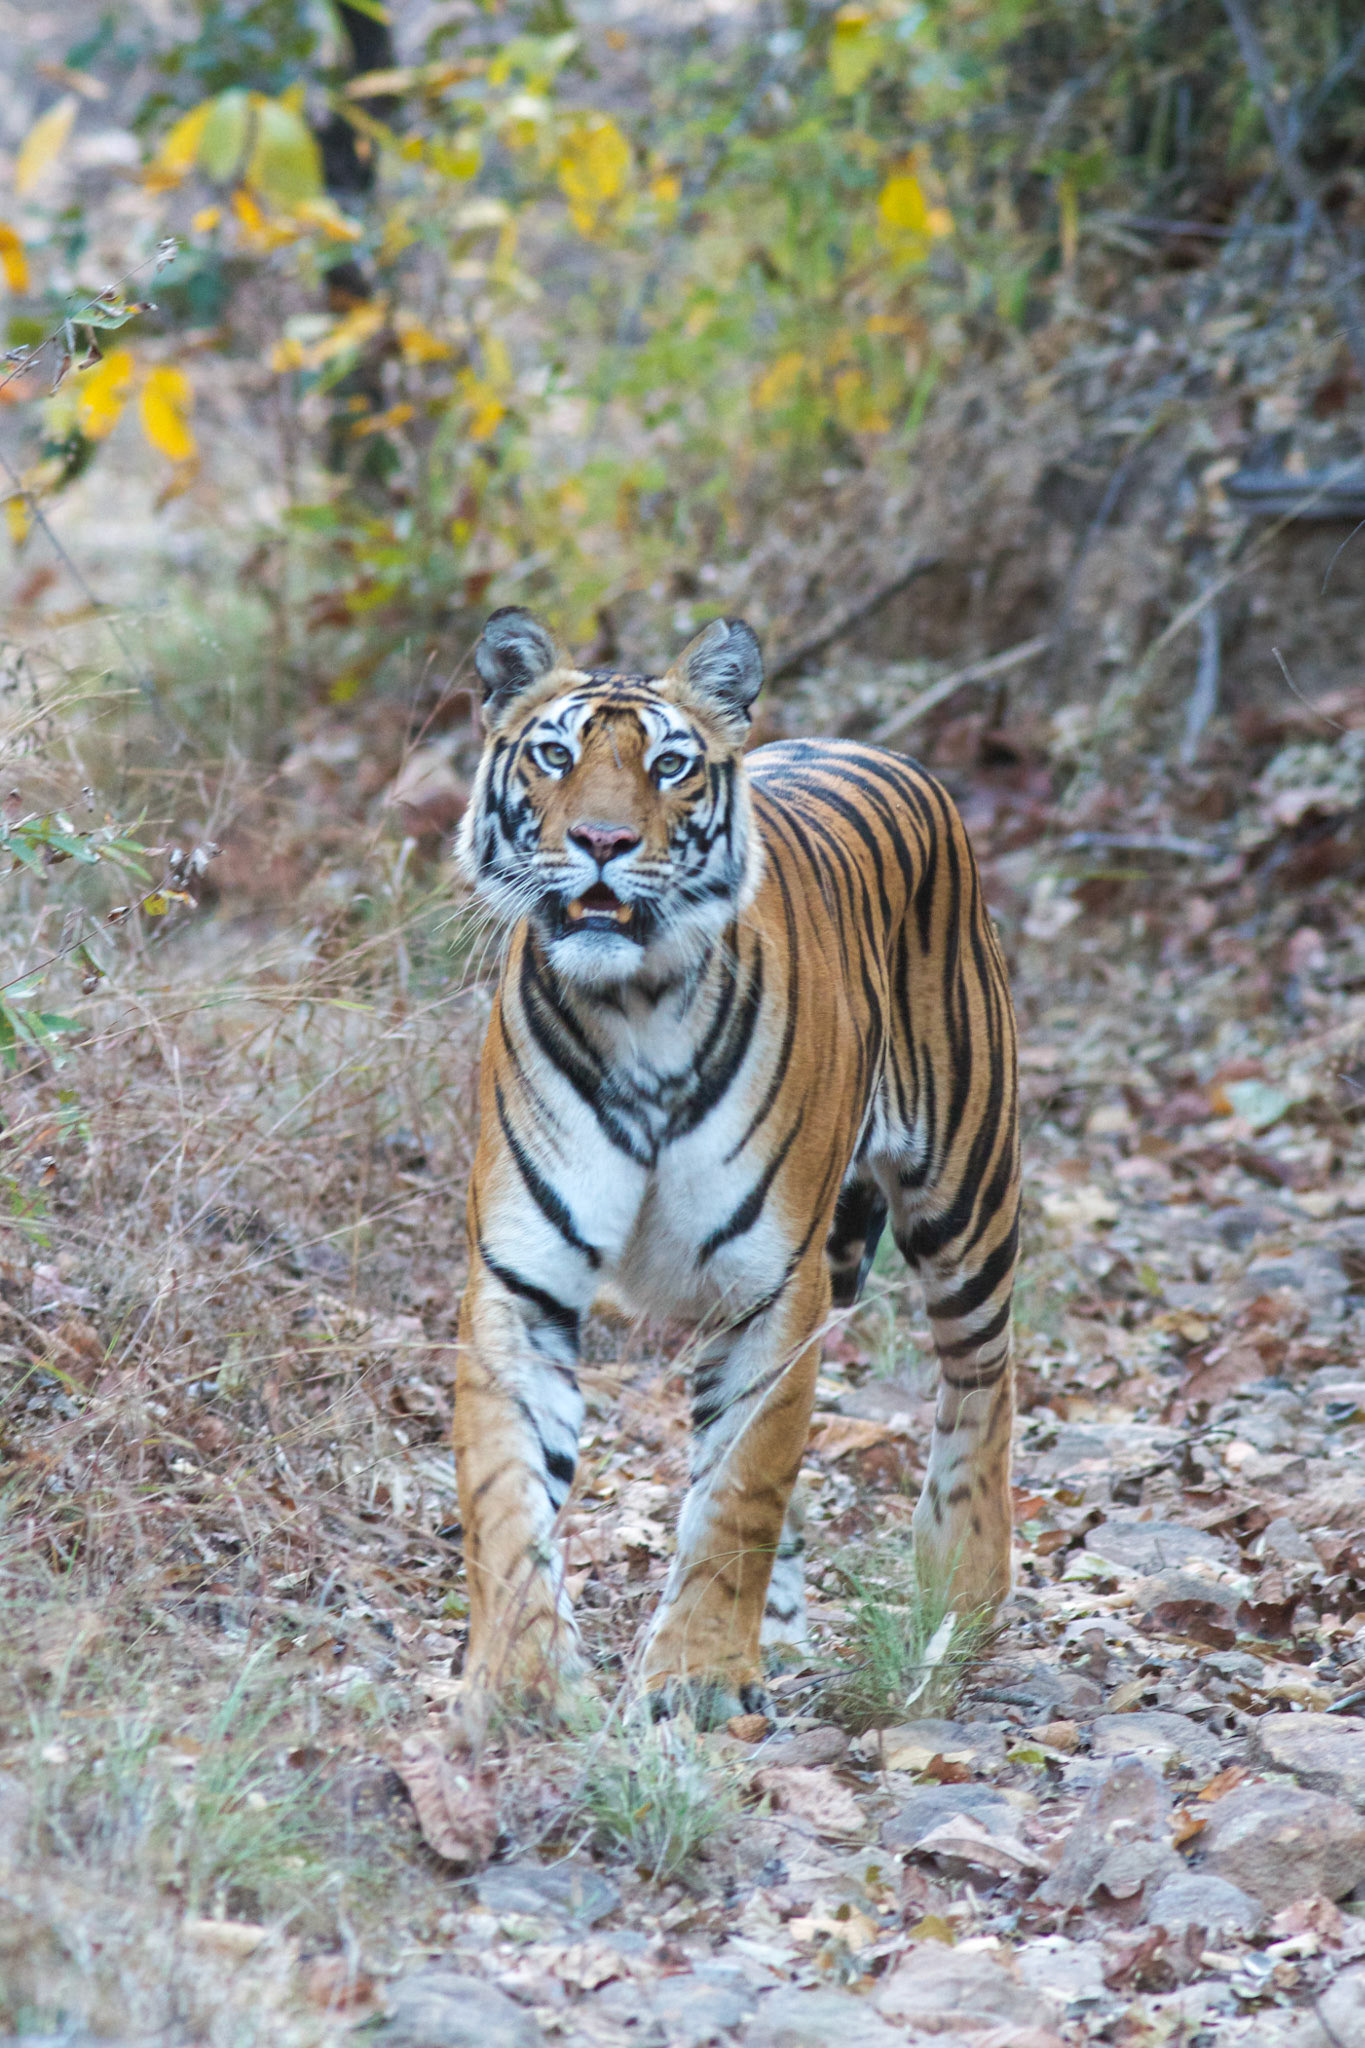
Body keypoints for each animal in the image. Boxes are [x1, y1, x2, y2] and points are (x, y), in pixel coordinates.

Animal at [452, 605, 1020, 1724]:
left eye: (668, 764)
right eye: (554, 755)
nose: (601, 842)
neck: (631, 1007)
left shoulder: (770, 1290)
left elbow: (741, 1491)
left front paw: (698, 1677)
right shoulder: (519, 1280)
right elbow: (505, 1491)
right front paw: (522, 1676)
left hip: (966, 1198)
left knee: (982, 1382)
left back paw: (961, 1603)